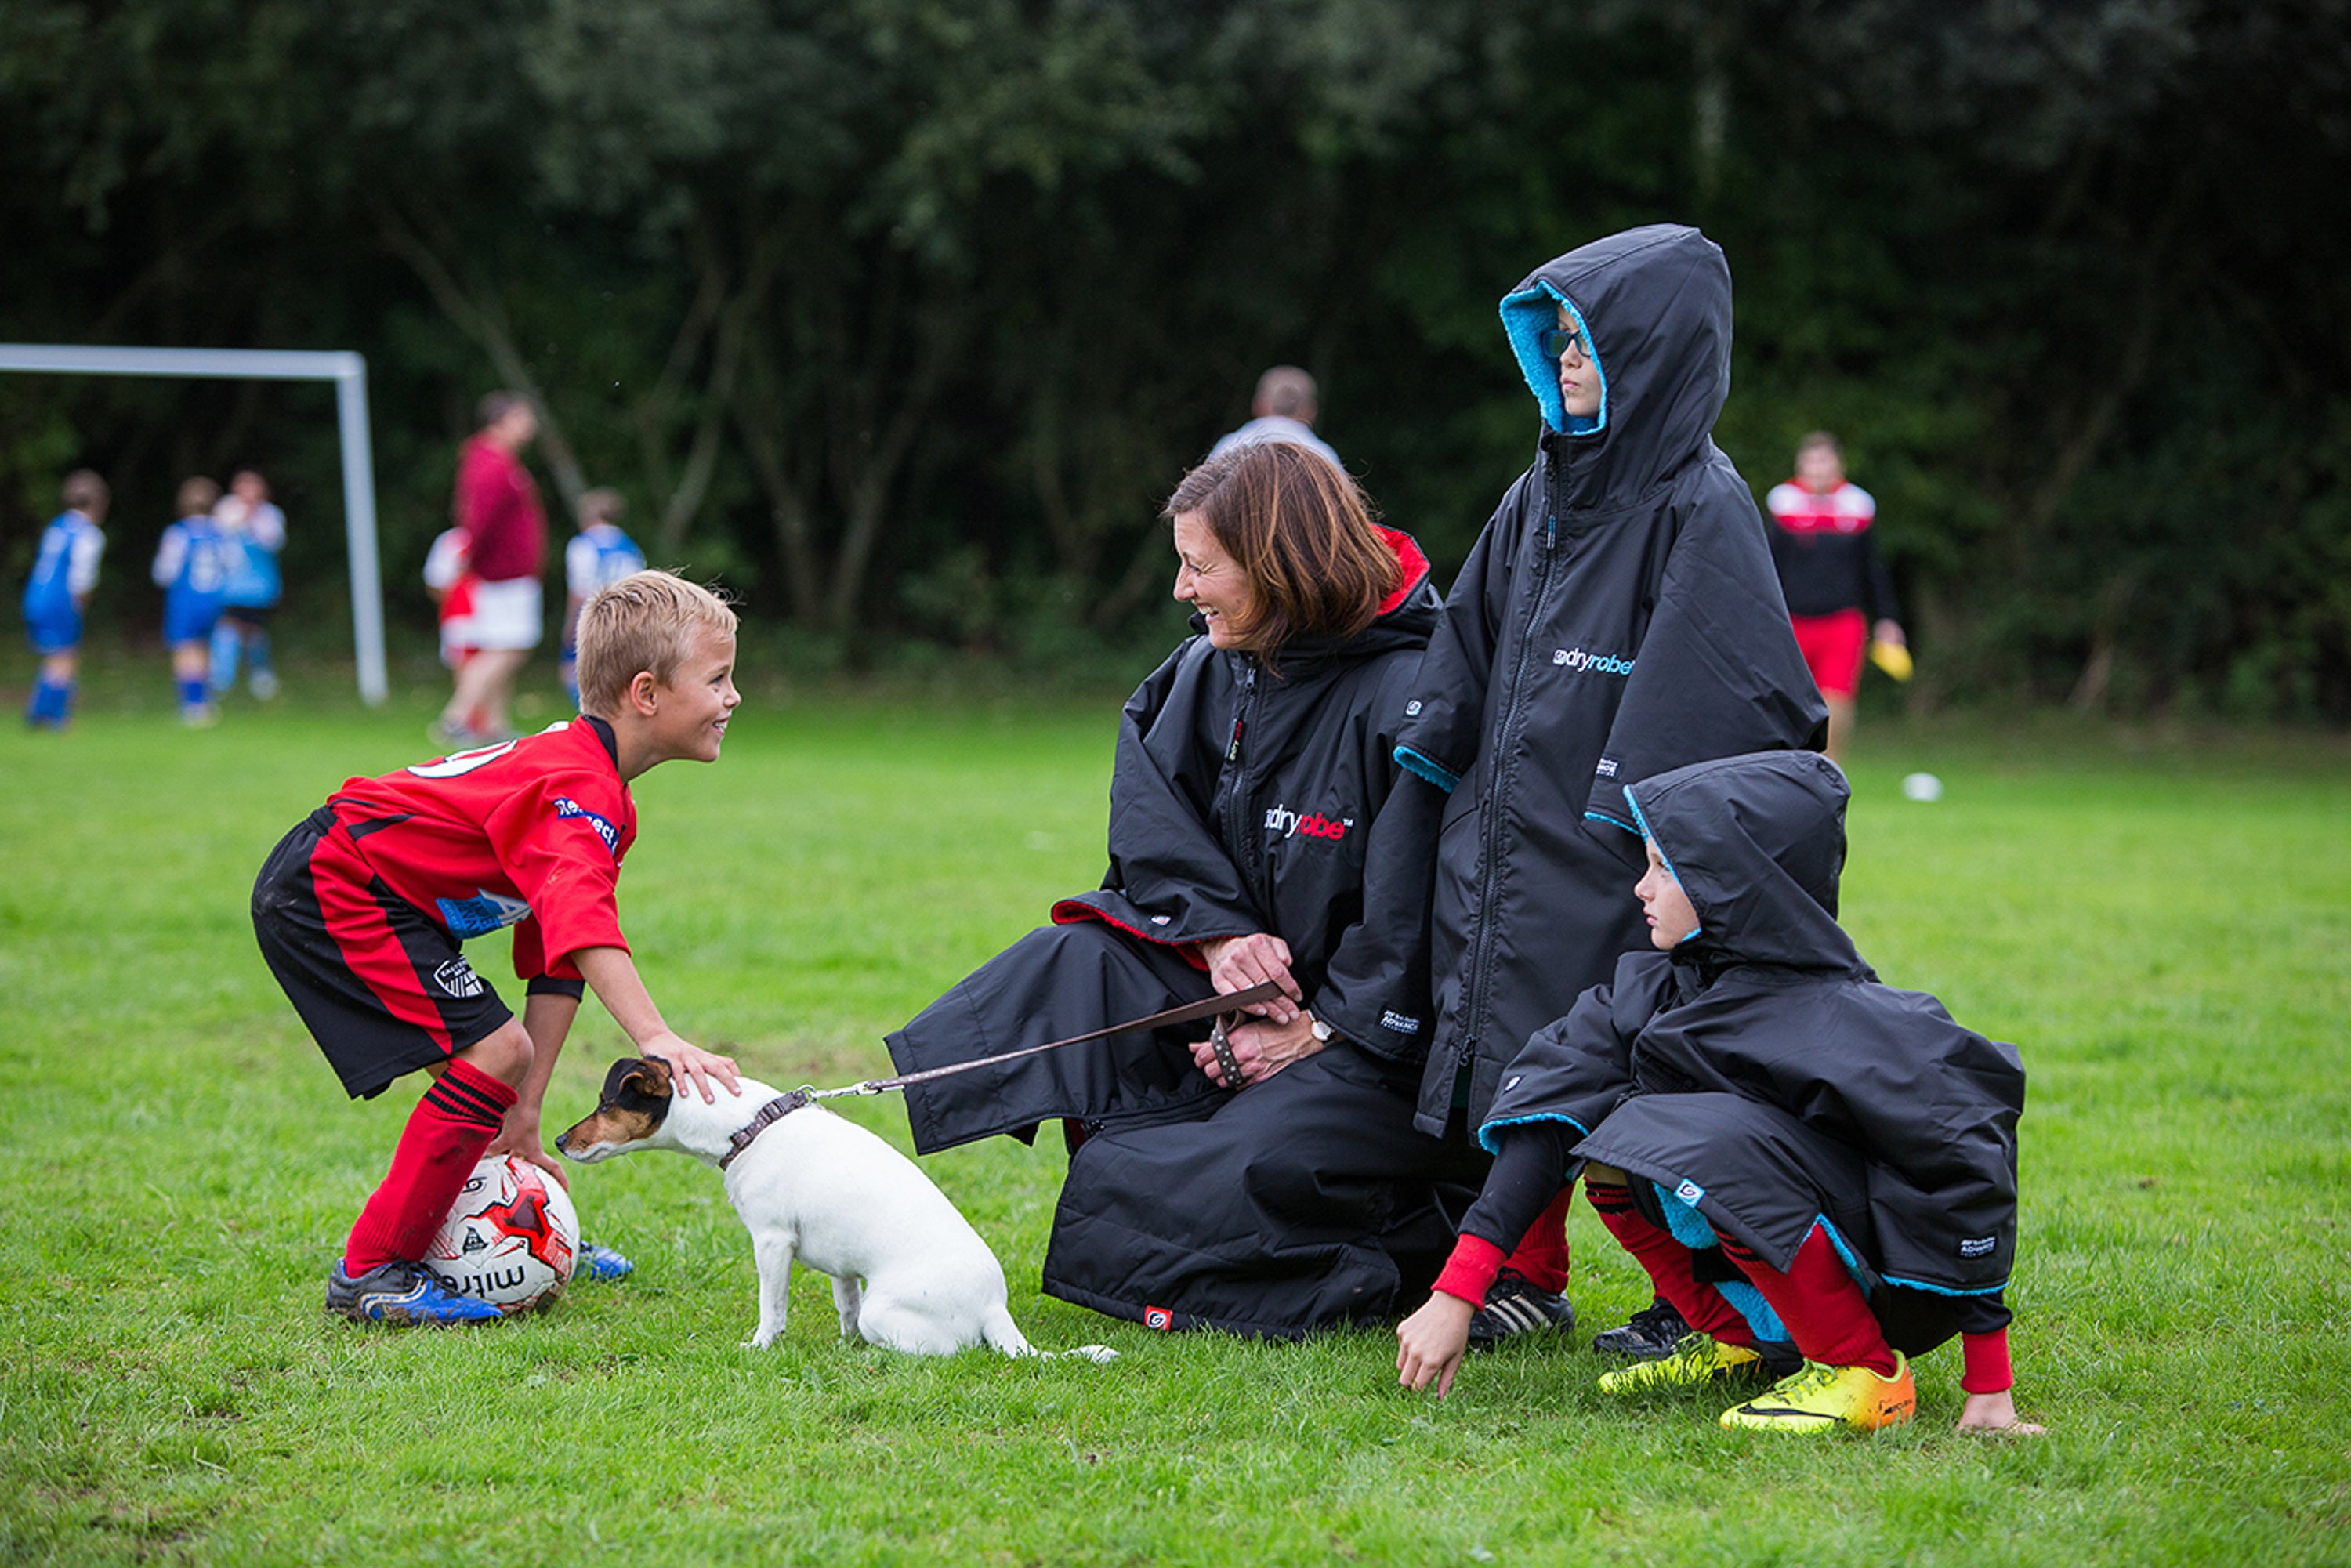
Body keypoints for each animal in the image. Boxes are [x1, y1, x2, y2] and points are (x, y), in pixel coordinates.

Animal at [555, 1063, 1105, 1363]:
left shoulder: (772, 1242)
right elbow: (846, 1308)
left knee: (949, 1350)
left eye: (606, 1104)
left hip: (891, 1312)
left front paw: (761, 1346)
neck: (750, 1125)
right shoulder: (843, 1268)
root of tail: (995, 1308)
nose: (559, 1141)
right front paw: (842, 1344)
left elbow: (772, 1308)